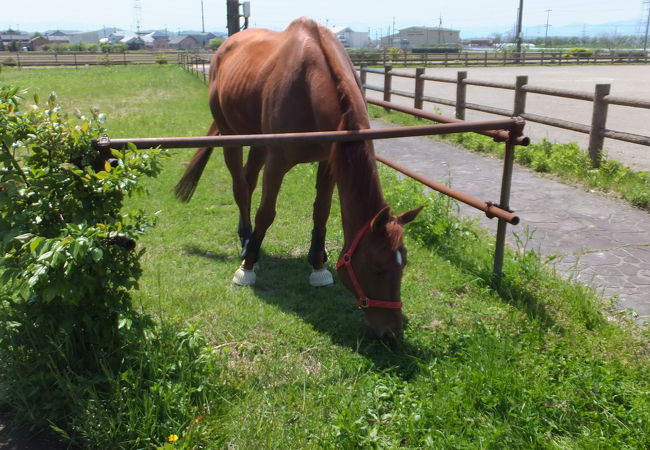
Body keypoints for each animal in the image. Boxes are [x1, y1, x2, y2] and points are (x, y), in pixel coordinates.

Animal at [175, 17, 420, 340]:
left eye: (403, 264)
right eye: (377, 267)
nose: (392, 333)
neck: (311, 85)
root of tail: (224, 48)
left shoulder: (328, 162)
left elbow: (321, 212)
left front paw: (318, 266)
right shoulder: (277, 162)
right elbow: (266, 213)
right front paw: (247, 268)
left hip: (258, 144)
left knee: (248, 182)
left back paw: (247, 238)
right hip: (232, 137)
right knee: (240, 188)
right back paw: (247, 242)